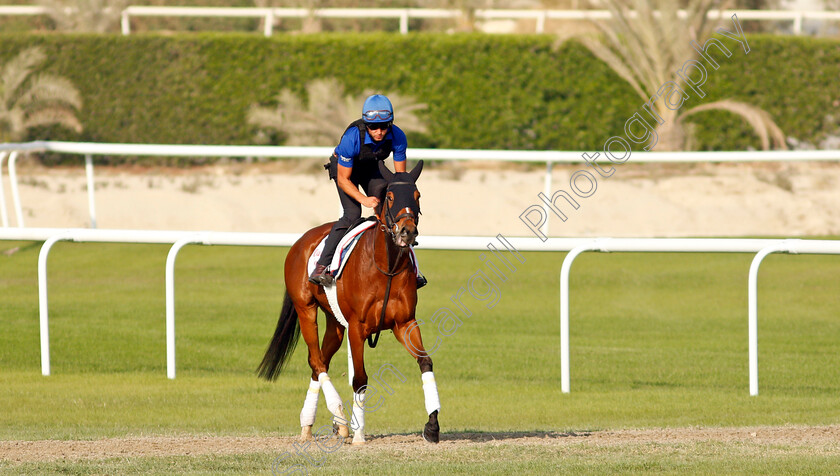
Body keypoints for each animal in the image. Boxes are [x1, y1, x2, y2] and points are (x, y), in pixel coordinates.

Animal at [256, 161, 440, 446]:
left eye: (417, 196)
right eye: (390, 197)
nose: (407, 231)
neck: (387, 267)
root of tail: (301, 240)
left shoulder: (405, 323)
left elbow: (425, 362)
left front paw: (432, 426)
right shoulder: (358, 327)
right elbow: (360, 378)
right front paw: (359, 433)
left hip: (335, 323)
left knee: (319, 361)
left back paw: (312, 424)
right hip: (306, 309)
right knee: (316, 361)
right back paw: (339, 416)